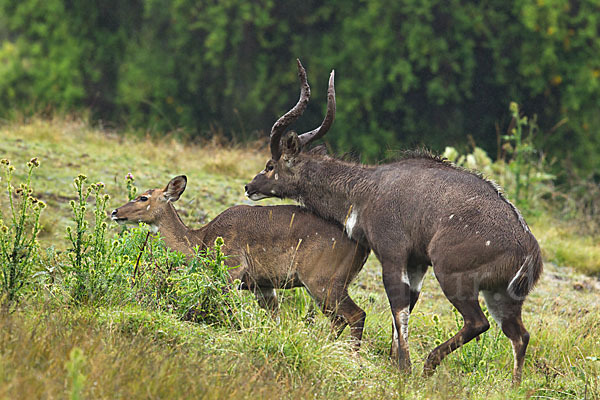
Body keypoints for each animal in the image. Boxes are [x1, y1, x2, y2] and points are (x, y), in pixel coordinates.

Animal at [110, 177, 368, 346]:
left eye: (143, 197)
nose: (114, 212)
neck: (202, 241)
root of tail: (363, 247)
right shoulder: (263, 285)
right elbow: (274, 320)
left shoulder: (232, 269)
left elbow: (229, 313)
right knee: (339, 320)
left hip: (322, 280)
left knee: (356, 315)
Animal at [245, 60, 544, 384]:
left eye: (270, 165)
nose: (249, 187)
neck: (365, 189)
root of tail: (529, 248)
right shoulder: (416, 263)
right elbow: (406, 307)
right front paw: (394, 362)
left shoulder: (392, 253)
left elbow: (398, 306)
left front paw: (404, 367)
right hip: (500, 294)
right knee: (520, 335)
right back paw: (514, 386)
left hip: (454, 276)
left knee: (479, 323)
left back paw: (429, 364)